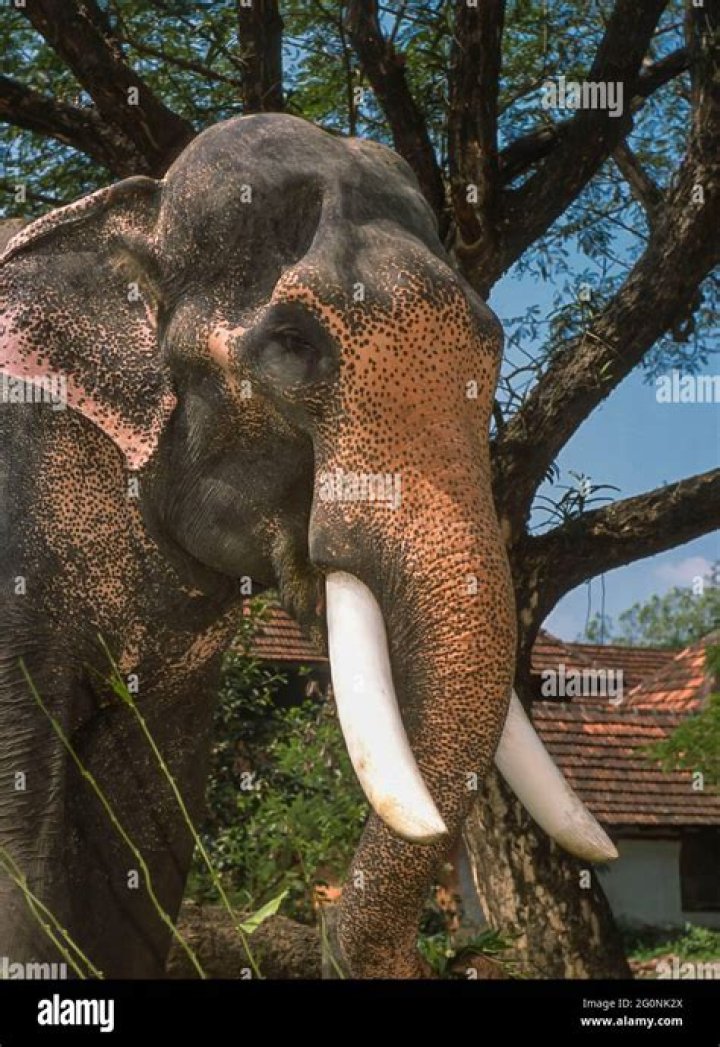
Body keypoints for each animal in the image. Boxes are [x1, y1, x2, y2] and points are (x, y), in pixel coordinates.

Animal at [0, 113, 616, 979]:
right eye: (292, 344)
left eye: (492, 343)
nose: (321, 933)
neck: (125, 209)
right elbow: (25, 827)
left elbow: (146, 823)